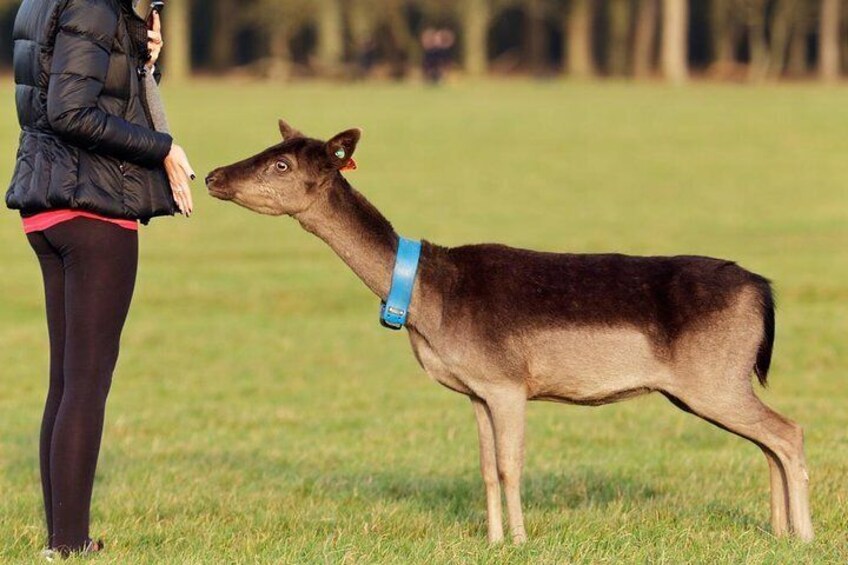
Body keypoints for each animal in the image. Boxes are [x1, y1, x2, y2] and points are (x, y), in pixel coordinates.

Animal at [205, 120, 816, 540]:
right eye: (266, 151)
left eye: (282, 166)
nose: (211, 175)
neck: (426, 301)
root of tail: (763, 290)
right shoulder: (476, 390)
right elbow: (483, 468)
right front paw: (494, 539)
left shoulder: (507, 381)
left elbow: (509, 464)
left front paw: (521, 539)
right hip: (719, 382)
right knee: (768, 440)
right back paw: (779, 531)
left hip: (712, 377)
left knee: (788, 432)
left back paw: (805, 536)